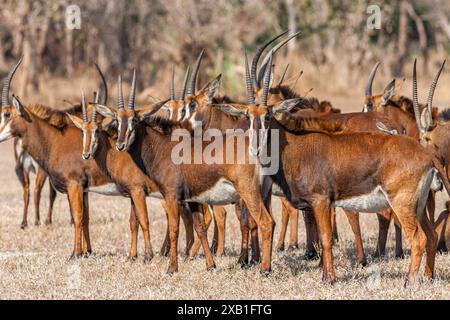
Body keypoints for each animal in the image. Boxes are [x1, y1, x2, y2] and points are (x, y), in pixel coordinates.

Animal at [214, 53, 446, 284]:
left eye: (268, 116)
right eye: (248, 116)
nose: (255, 147)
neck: (295, 146)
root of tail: (427, 156)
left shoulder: (321, 201)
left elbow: (325, 239)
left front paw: (330, 278)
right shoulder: (317, 205)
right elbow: (321, 236)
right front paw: (325, 274)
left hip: (402, 204)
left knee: (418, 238)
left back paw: (409, 281)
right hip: (419, 206)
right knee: (431, 235)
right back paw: (429, 276)